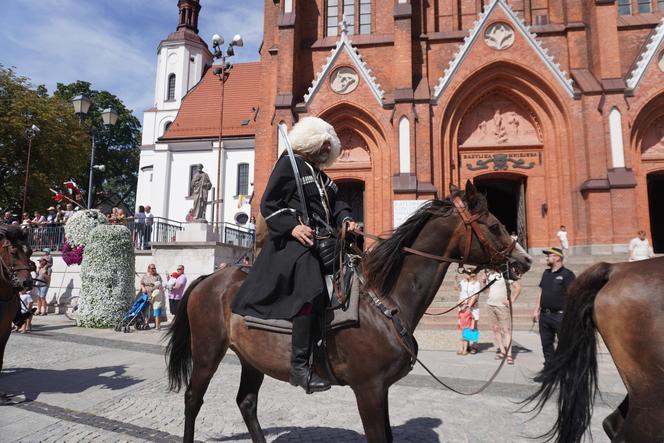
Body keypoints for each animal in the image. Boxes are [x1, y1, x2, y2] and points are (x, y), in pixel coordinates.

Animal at [169, 182, 532, 442]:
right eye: (495, 226)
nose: (525, 261)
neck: (384, 299)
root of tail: (211, 277)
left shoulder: (382, 390)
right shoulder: (368, 390)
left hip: (251, 358)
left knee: (246, 402)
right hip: (207, 352)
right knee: (192, 399)